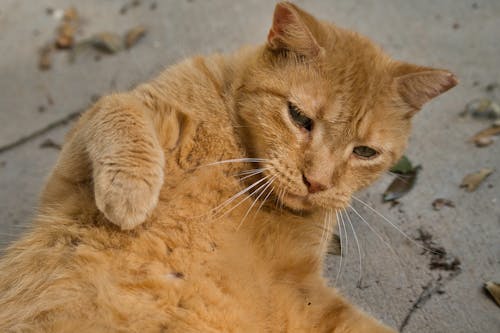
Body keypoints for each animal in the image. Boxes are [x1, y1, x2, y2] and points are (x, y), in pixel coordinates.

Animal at [0, 2, 458, 332]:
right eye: (299, 117)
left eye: (364, 152)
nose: (317, 182)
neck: (242, 169)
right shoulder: (64, 184)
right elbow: (115, 107)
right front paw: (130, 191)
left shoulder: (305, 293)